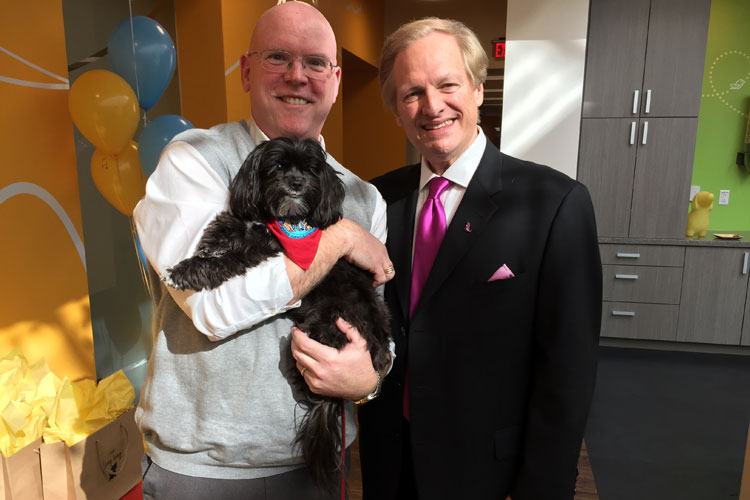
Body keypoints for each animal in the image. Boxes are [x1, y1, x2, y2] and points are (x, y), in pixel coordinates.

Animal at [162, 136, 390, 492]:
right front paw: (217, 232)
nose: (295, 183)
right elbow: (238, 221)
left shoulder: (262, 251)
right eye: (279, 166)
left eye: (311, 170)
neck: (289, 222)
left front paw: (186, 271)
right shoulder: (257, 225)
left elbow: (228, 260)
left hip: (320, 330)